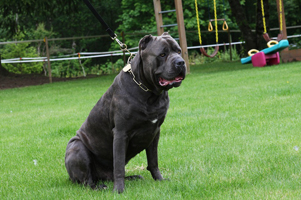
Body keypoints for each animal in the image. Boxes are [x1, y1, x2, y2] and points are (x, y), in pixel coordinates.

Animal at [65, 32, 185, 193]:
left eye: (178, 51)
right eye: (162, 54)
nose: (181, 62)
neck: (150, 93)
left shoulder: (155, 132)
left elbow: (153, 161)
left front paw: (159, 180)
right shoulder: (121, 133)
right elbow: (119, 165)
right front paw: (119, 190)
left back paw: (133, 177)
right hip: (77, 147)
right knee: (87, 181)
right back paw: (100, 187)